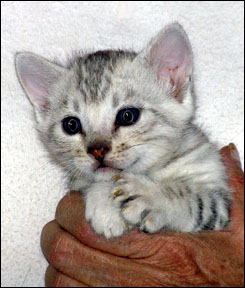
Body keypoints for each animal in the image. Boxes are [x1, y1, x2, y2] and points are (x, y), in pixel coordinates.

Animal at [15, 23, 232, 238]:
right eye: (71, 125)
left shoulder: (219, 200)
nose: (97, 150)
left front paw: (152, 197)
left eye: (128, 116)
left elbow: (195, 200)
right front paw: (104, 205)